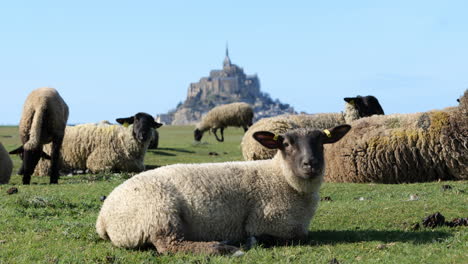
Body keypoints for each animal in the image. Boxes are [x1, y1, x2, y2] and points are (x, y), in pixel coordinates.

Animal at [34, 112, 163, 175]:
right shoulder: (97, 162)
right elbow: (109, 169)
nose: (143, 135)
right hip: (45, 162)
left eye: (151, 123)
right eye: (135, 120)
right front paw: (87, 170)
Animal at [96, 125, 352, 255]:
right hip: (159, 213)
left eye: (321, 142)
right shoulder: (268, 221)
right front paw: (252, 241)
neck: (282, 178)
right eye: (286, 144)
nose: (311, 164)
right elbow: (296, 237)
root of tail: (103, 218)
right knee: (170, 245)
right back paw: (222, 248)